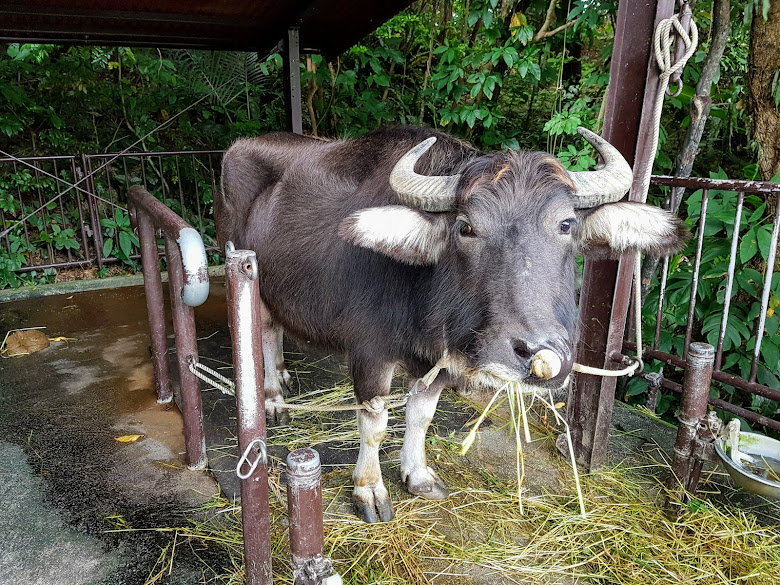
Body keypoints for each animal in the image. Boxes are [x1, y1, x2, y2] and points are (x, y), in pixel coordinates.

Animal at [216, 125, 684, 524]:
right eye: (466, 227)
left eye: (566, 224)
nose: (537, 353)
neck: (427, 296)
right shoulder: (370, 354)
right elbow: (374, 425)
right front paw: (370, 490)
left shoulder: (434, 358)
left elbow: (421, 415)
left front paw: (418, 475)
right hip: (247, 276)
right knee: (260, 330)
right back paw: (272, 399)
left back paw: (280, 377)